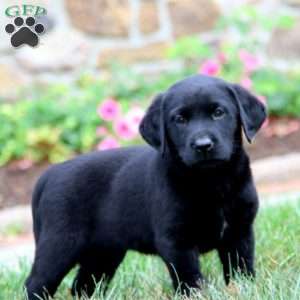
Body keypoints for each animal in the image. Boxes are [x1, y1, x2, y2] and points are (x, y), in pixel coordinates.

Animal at [24, 74, 266, 298]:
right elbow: (189, 279)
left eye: (219, 112)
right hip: (60, 243)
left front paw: (244, 290)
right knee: (36, 283)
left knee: (83, 286)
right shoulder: (176, 241)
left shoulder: (240, 231)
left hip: (104, 252)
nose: (203, 145)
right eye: (180, 119)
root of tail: (49, 173)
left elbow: (241, 269)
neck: (212, 180)